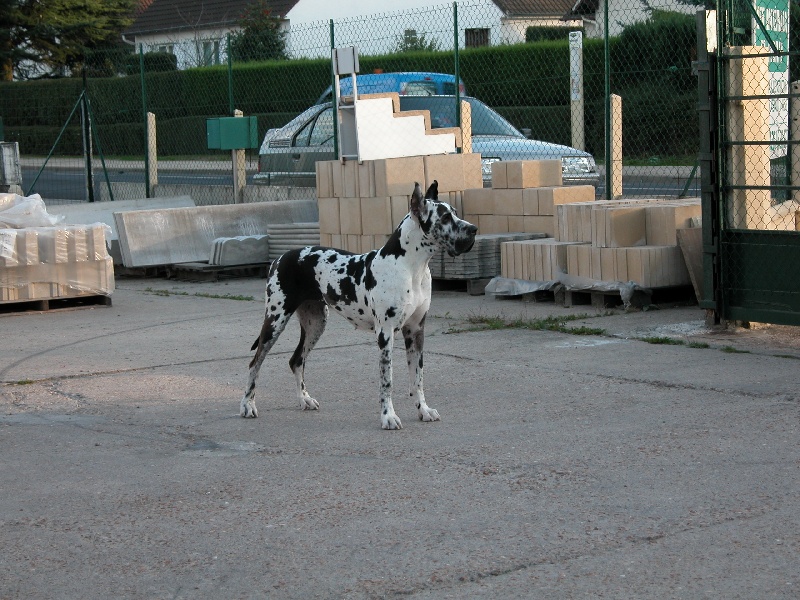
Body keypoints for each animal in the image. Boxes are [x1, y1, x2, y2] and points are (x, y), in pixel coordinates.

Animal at [238, 180, 476, 428]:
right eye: (445, 217)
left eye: (455, 213)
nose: (474, 229)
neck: (411, 267)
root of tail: (279, 258)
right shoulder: (385, 333)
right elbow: (387, 381)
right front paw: (388, 416)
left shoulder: (416, 331)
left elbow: (417, 378)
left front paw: (424, 410)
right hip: (275, 321)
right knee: (255, 363)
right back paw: (247, 405)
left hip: (315, 323)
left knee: (296, 361)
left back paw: (305, 399)